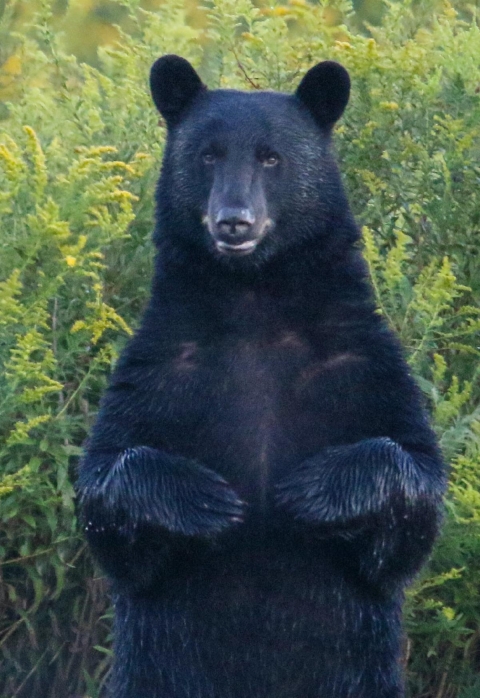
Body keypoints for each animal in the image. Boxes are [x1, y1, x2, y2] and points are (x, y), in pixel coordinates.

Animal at [77, 55, 444, 696]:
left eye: (271, 157)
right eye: (208, 155)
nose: (234, 222)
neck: (254, 303)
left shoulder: (359, 360)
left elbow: (413, 488)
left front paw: (312, 489)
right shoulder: (162, 364)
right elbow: (107, 489)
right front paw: (206, 499)